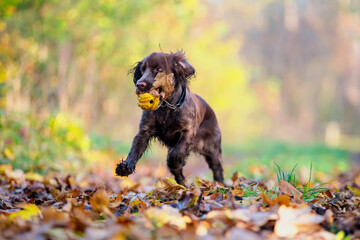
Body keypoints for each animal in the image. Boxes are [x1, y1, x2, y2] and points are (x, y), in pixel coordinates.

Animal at [115, 51, 224, 186]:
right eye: (142, 70)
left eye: (159, 69)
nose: (139, 84)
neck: (167, 108)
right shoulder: (144, 131)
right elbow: (135, 149)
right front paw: (126, 167)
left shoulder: (188, 131)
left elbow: (176, 154)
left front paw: (177, 162)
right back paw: (182, 185)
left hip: (213, 149)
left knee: (217, 168)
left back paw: (220, 184)